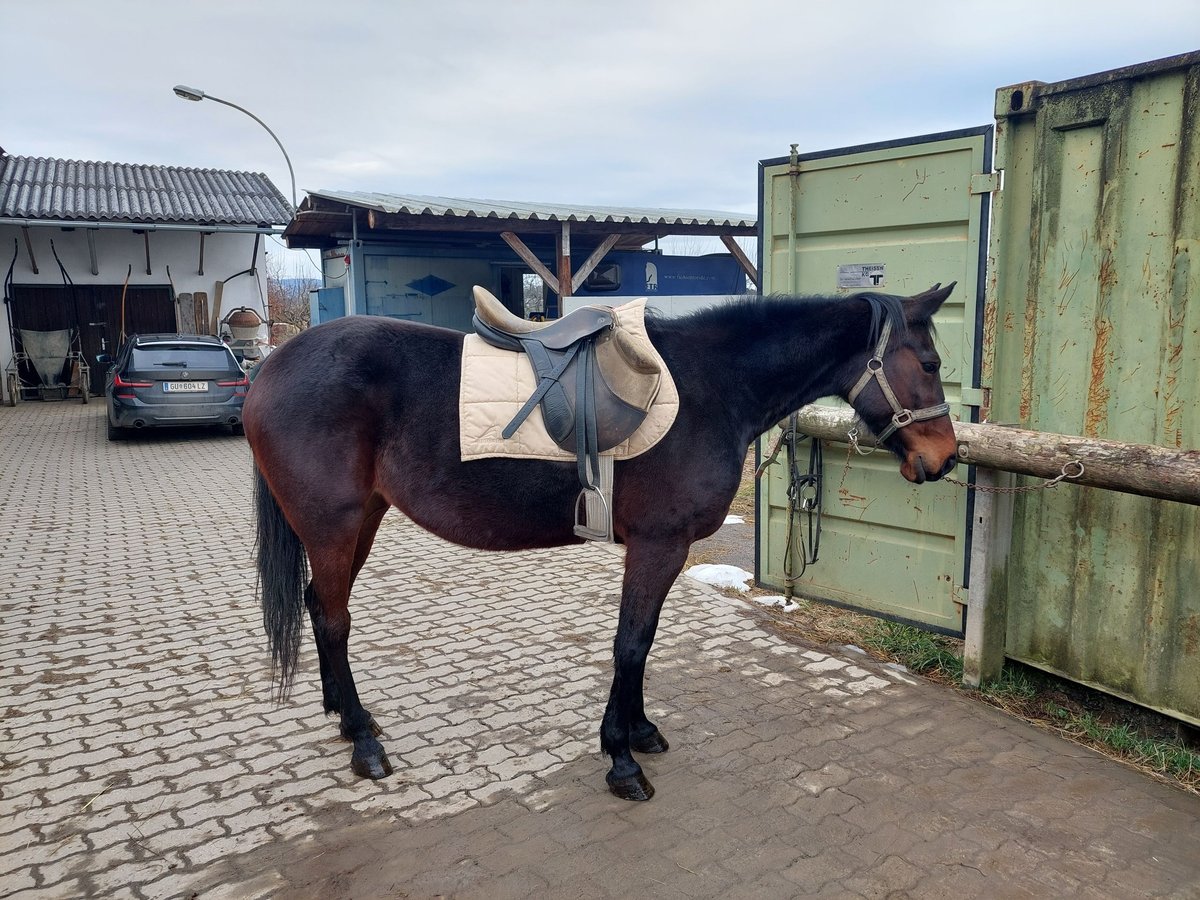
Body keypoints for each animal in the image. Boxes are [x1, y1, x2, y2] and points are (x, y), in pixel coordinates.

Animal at [243, 283, 955, 801]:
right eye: (929, 363)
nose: (944, 458)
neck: (713, 385)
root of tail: (270, 369)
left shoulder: (662, 550)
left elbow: (643, 642)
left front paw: (638, 732)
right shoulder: (659, 544)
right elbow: (631, 644)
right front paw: (620, 758)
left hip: (360, 520)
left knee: (319, 606)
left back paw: (347, 718)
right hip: (333, 526)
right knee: (333, 619)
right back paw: (365, 744)